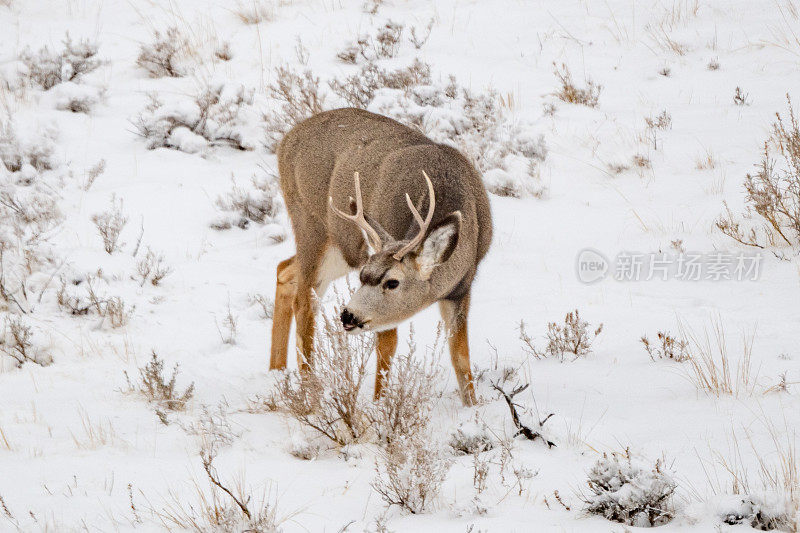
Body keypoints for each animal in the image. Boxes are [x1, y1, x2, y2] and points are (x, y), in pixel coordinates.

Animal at [268, 109, 494, 408]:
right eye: (363, 276)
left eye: (393, 282)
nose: (348, 315)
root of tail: (286, 140)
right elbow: (387, 350)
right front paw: (381, 406)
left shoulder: (461, 288)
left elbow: (461, 357)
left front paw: (472, 406)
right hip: (312, 225)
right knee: (305, 302)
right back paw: (309, 390)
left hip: (341, 249)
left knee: (283, 269)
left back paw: (277, 372)